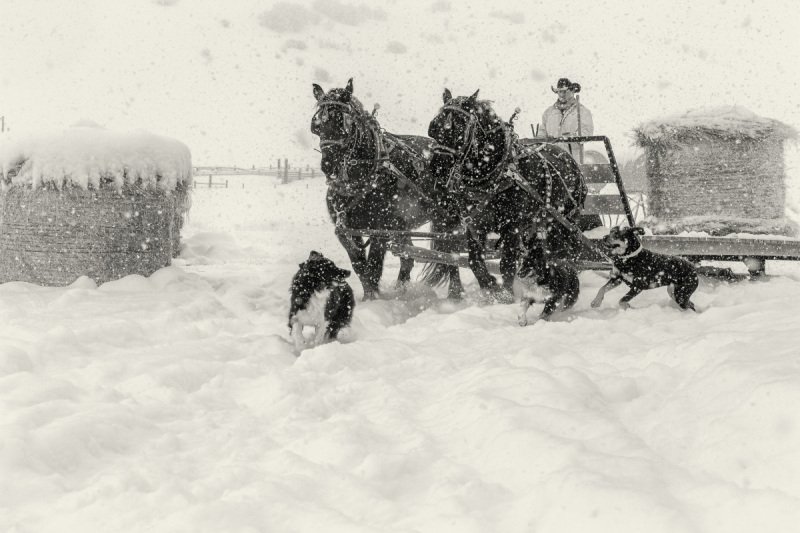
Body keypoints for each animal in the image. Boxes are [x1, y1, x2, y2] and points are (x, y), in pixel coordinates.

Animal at [310, 81, 466, 302]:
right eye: (316, 126)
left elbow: (374, 267)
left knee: (451, 254)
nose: (328, 167)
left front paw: (373, 300)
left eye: (345, 125)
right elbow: (360, 266)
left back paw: (454, 292)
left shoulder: (381, 230)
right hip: (402, 225)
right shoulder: (346, 230)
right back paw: (401, 290)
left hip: (447, 217)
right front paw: (368, 297)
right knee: (408, 257)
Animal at [424, 89, 588, 302]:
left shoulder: (512, 227)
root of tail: (570, 159)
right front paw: (490, 287)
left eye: (459, 130)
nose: (437, 169)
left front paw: (506, 296)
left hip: (564, 220)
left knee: (564, 251)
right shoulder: (475, 224)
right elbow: (475, 261)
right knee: (538, 251)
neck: (495, 174)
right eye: (433, 129)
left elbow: (507, 264)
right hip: (538, 222)